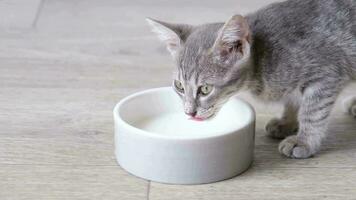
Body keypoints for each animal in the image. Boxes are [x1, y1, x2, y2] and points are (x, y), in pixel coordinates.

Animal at [146, 0, 354, 159]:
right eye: (179, 86)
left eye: (205, 89)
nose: (189, 112)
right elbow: (293, 100)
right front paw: (287, 121)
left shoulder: (326, 73)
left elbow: (312, 112)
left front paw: (304, 140)